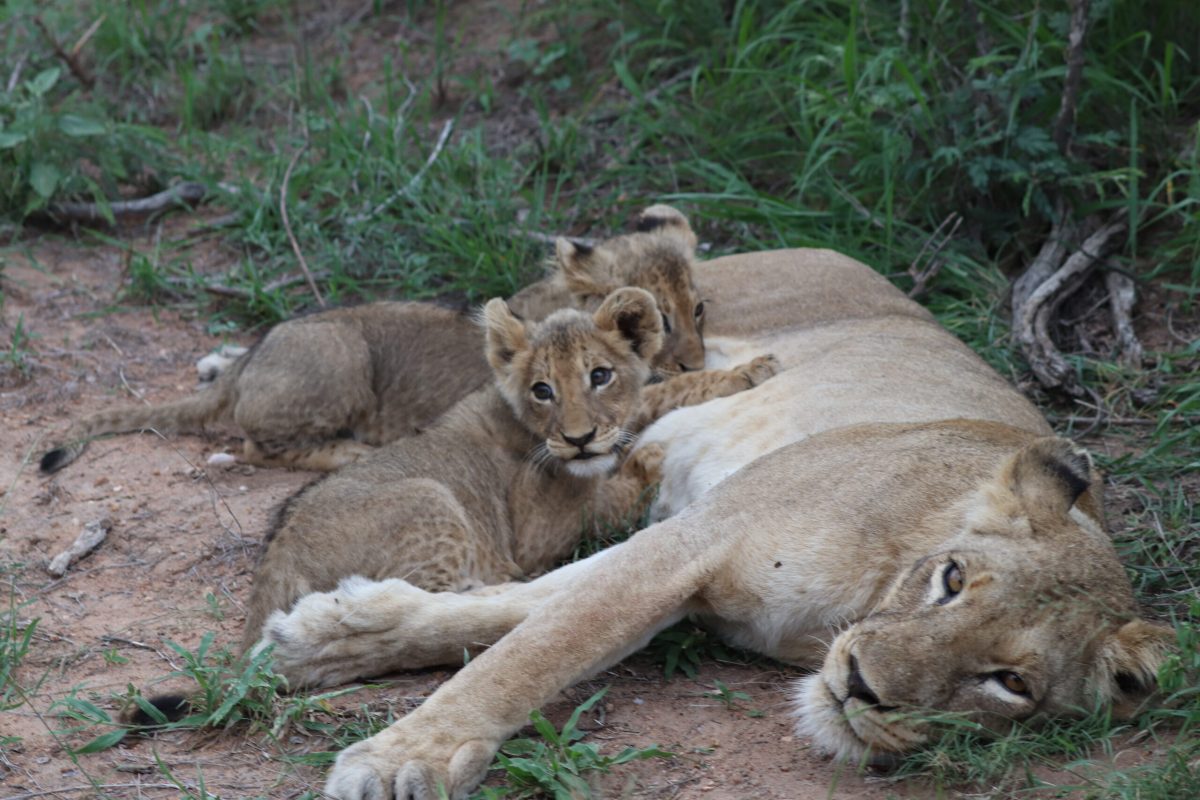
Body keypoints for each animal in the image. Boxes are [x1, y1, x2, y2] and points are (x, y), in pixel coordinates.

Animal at [38, 205, 707, 474]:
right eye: (662, 319)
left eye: (698, 309)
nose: (694, 360)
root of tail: (253, 359)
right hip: (342, 353)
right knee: (256, 447)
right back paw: (349, 453)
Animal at [239, 286, 777, 650]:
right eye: (543, 389)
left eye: (600, 376)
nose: (579, 439)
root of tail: (278, 558)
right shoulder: (539, 529)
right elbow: (613, 493)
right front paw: (646, 459)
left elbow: (656, 394)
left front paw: (744, 372)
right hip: (430, 496)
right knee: (425, 595)